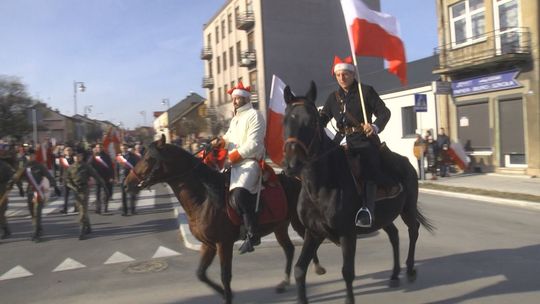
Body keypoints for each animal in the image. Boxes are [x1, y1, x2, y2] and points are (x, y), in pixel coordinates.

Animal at [123, 135, 324, 304]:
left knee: (308, 241)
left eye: (148, 159)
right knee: (289, 249)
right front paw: (223, 293)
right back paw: (284, 282)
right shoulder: (208, 244)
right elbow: (201, 274)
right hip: (280, 226)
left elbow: (225, 275)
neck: (205, 197)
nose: (127, 184)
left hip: (297, 223)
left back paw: (317, 267)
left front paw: (228, 295)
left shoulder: (223, 243)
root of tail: (300, 181)